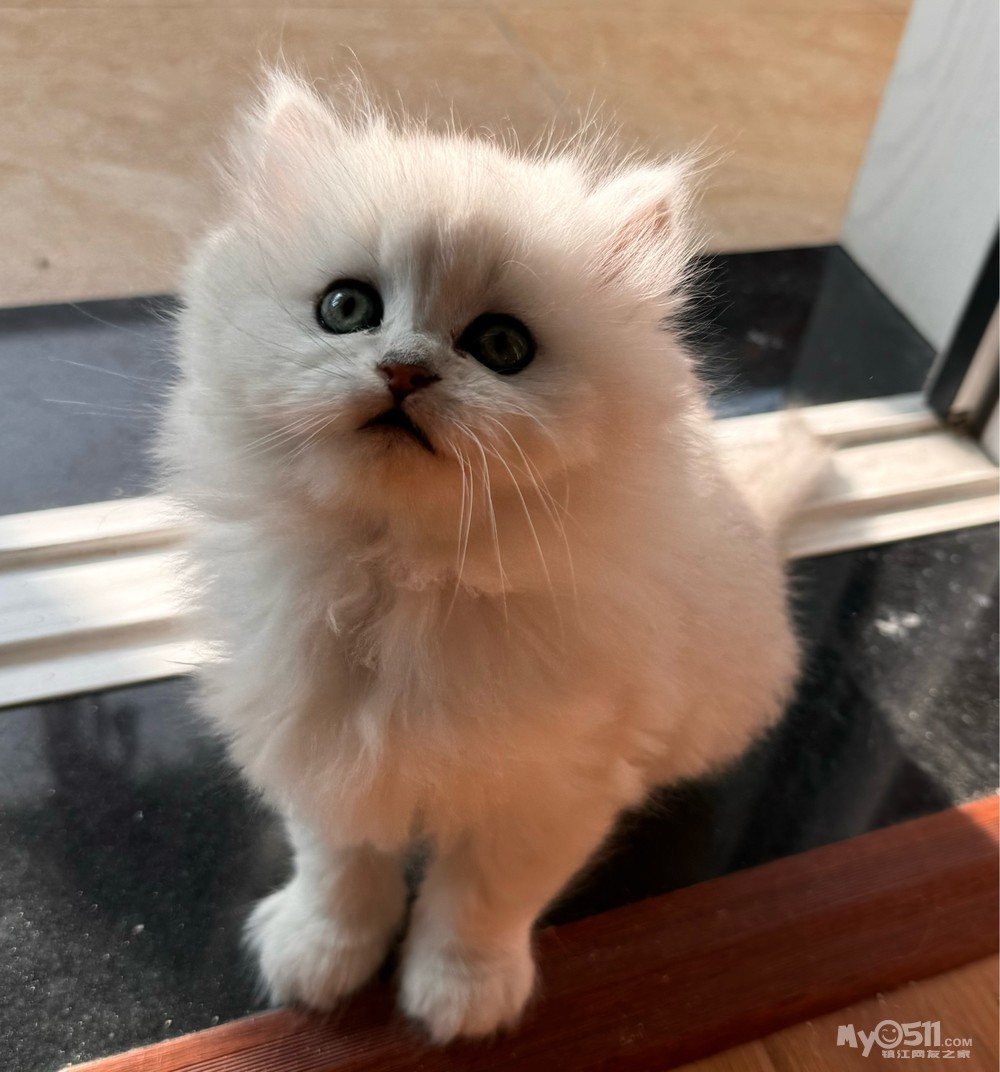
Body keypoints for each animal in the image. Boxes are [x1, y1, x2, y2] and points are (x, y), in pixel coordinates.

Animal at [161, 71, 822, 1043]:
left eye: (502, 347)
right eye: (346, 309)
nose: (404, 370)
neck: (403, 576)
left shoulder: (547, 791)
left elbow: (478, 906)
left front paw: (459, 1000)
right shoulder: (320, 746)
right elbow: (339, 872)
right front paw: (321, 961)